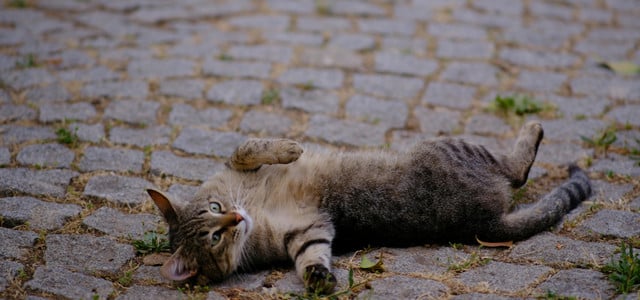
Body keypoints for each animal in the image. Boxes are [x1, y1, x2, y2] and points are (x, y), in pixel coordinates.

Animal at [145, 120, 592, 294]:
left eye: (217, 206)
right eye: (215, 238)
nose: (237, 217)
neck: (255, 210)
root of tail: (487, 221)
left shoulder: (238, 166)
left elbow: (249, 146)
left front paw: (290, 148)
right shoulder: (306, 234)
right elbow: (311, 258)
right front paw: (319, 278)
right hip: (459, 151)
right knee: (517, 170)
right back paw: (532, 127)